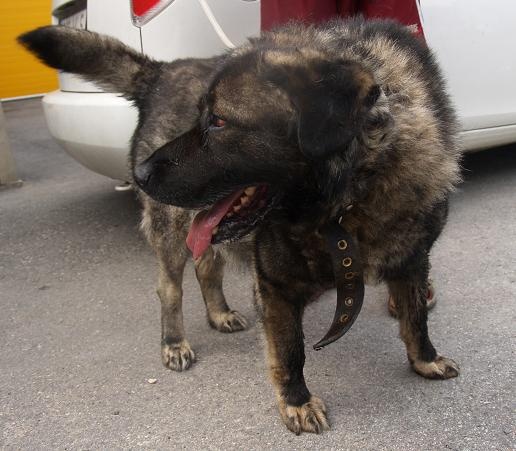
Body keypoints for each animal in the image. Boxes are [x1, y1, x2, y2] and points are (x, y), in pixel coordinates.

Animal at [20, 17, 461, 434]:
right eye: (201, 117)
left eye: (217, 122)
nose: (140, 174)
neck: (347, 199)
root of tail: (162, 71)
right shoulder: (275, 285)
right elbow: (290, 351)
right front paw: (297, 402)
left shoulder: (412, 261)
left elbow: (415, 316)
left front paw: (425, 359)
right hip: (172, 231)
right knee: (170, 288)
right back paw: (174, 341)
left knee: (206, 266)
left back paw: (219, 314)